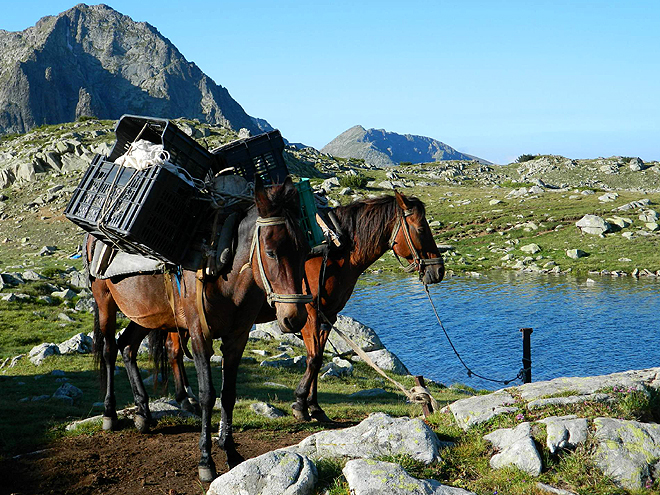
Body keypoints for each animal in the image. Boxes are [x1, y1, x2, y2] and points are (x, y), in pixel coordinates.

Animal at [89, 177, 312, 480]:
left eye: (304, 251)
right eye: (271, 252)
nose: (294, 318)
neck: (223, 270)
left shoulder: (237, 337)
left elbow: (228, 395)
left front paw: (231, 451)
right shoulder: (199, 336)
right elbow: (207, 395)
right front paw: (206, 460)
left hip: (148, 313)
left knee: (128, 347)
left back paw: (143, 413)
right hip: (105, 303)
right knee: (110, 349)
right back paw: (110, 413)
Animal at [164, 190, 444, 426]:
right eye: (421, 228)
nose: (438, 270)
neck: (335, 252)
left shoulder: (328, 315)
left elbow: (318, 359)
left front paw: (315, 407)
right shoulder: (309, 314)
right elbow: (313, 358)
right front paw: (301, 404)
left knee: (173, 349)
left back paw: (185, 397)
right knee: (175, 351)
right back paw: (184, 399)